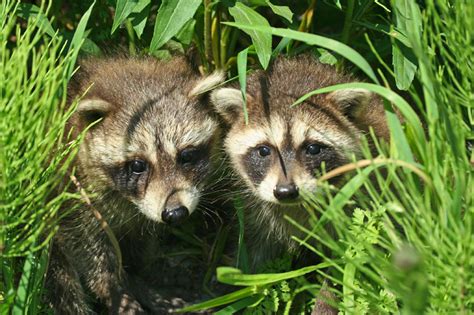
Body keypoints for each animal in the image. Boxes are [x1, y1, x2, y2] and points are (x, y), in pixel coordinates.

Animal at [47, 56, 225, 314]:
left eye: (187, 155)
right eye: (138, 165)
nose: (175, 213)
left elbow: (139, 243)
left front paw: (139, 279)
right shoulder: (71, 193)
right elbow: (86, 246)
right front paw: (112, 287)